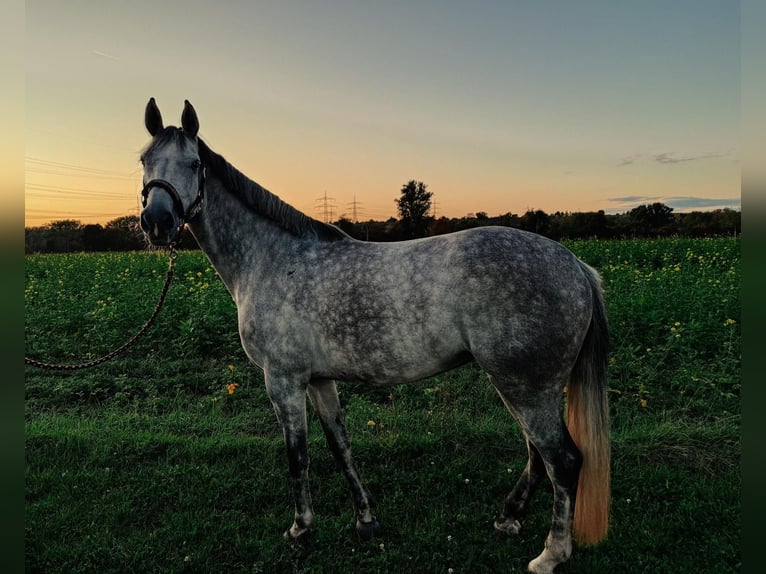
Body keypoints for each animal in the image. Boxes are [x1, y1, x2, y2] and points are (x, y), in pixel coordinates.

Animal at [136, 99, 608, 574]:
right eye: (144, 161)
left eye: (194, 164)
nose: (157, 222)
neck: (272, 260)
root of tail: (576, 267)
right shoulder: (319, 380)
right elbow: (339, 445)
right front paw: (366, 519)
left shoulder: (283, 380)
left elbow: (298, 455)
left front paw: (301, 528)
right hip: (524, 387)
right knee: (538, 456)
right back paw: (509, 518)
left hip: (525, 386)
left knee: (563, 461)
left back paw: (550, 554)